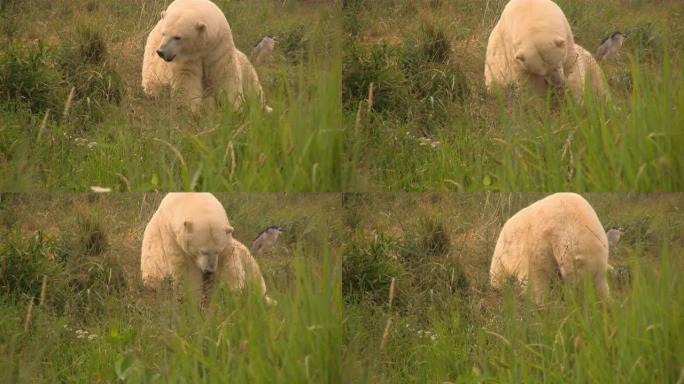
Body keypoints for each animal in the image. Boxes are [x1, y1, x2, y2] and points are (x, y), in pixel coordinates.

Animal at [140, 194, 274, 304]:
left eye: (218, 250)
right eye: (202, 251)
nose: (209, 270)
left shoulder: (226, 243)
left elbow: (229, 264)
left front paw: (231, 292)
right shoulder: (172, 237)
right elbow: (185, 270)